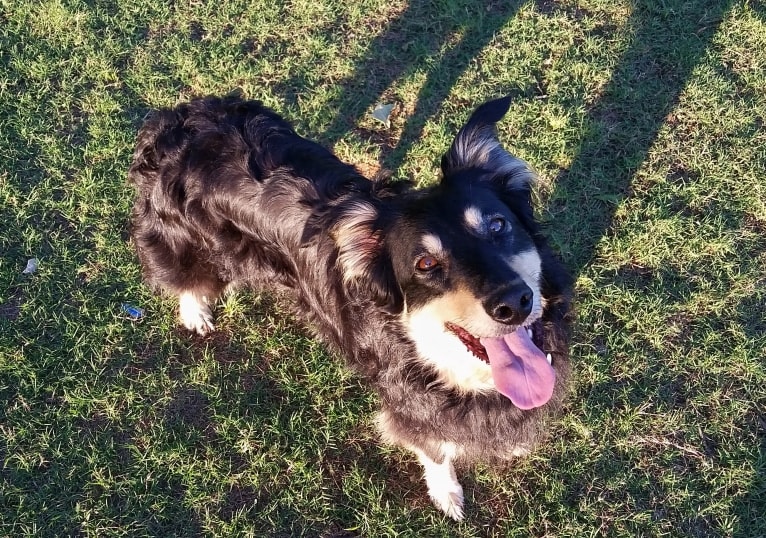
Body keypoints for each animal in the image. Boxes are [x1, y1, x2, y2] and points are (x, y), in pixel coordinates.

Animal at [129, 94, 568, 516]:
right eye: (425, 264)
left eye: (498, 225)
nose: (514, 303)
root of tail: (173, 121)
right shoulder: (412, 407)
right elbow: (435, 452)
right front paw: (447, 493)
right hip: (179, 240)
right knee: (186, 277)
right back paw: (195, 311)